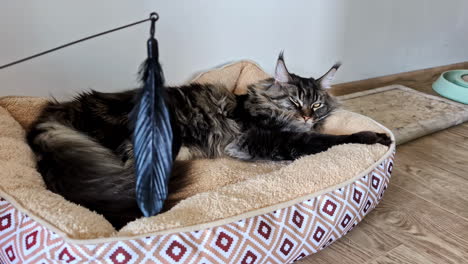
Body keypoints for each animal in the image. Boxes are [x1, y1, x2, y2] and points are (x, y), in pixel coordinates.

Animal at [25, 54, 392, 229]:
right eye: (293, 101)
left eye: (315, 104)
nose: (305, 116)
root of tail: (55, 113)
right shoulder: (259, 140)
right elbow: (324, 141)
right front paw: (377, 137)